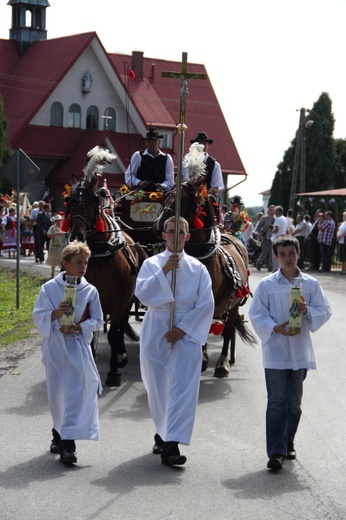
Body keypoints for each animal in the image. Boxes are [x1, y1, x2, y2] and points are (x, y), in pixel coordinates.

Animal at [67, 177, 146, 384]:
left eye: (90, 202)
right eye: (71, 202)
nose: (77, 236)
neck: (98, 255)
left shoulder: (118, 300)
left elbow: (112, 333)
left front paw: (113, 371)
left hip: (128, 300)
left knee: (120, 326)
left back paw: (122, 354)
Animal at [154, 181, 256, 376]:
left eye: (184, 199)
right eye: (167, 195)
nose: (159, 223)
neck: (202, 255)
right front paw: (201, 358)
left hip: (233, 305)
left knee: (229, 329)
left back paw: (223, 362)